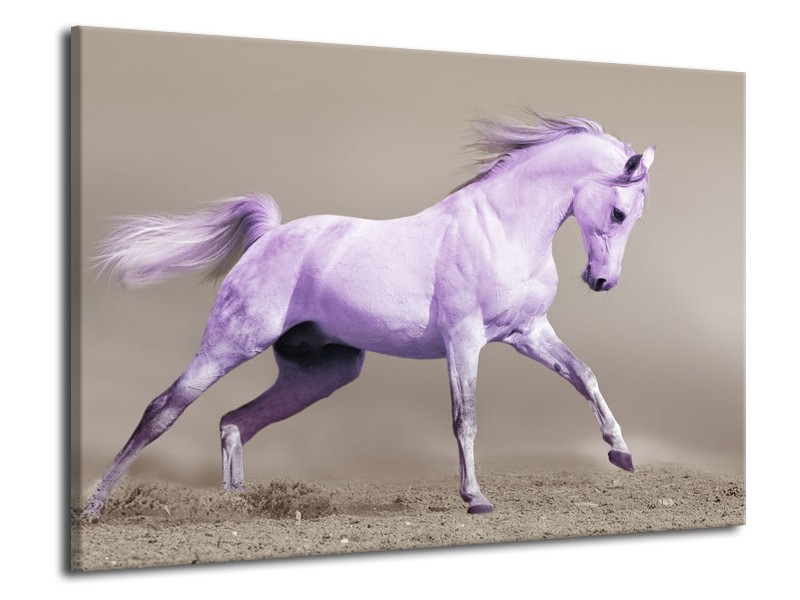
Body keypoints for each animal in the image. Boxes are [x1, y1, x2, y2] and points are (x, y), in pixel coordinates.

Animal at [81, 114, 655, 518]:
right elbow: (465, 417)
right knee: (162, 410)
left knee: (235, 421)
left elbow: (584, 376)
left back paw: (236, 504)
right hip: (230, 343)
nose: (602, 281)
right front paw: (475, 498)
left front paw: (621, 454)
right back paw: (93, 506)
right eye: (620, 212)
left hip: (321, 374)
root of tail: (269, 236)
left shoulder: (528, 333)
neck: (500, 229)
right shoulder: (464, 341)